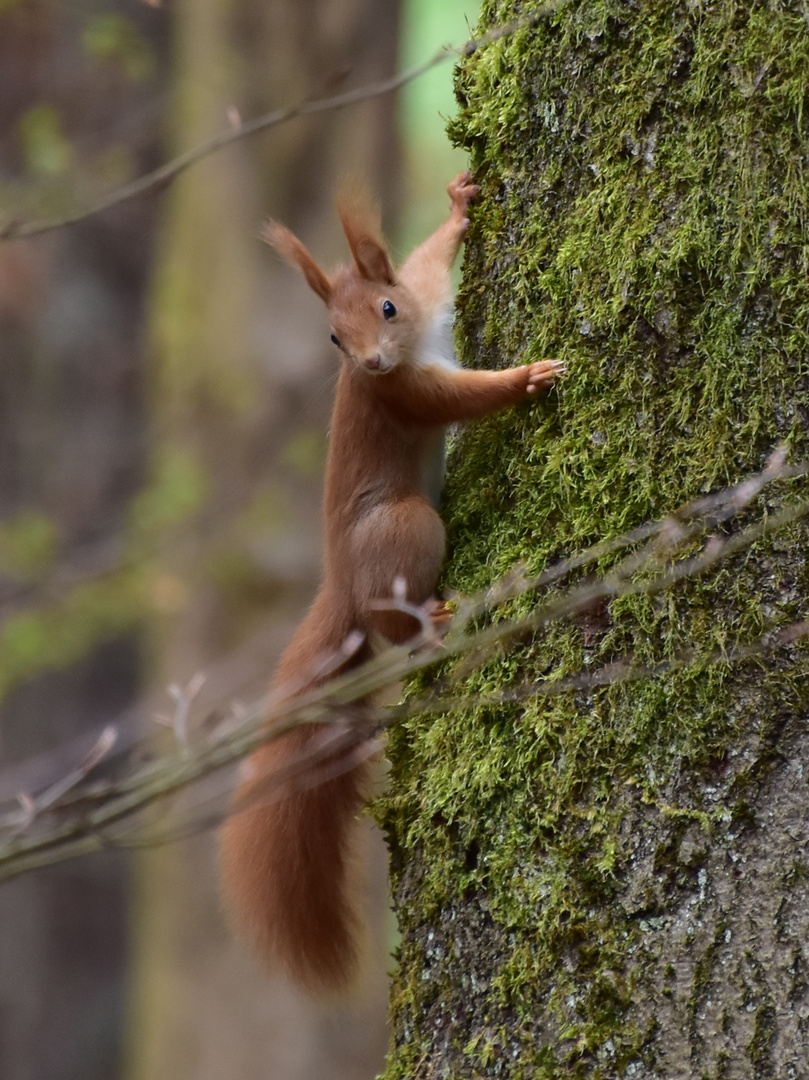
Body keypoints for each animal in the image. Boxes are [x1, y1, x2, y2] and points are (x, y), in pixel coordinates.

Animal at [221, 170, 561, 993]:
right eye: (332, 339)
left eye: (385, 308)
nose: (370, 363)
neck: (410, 347)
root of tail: (343, 585)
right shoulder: (410, 394)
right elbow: (465, 399)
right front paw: (525, 379)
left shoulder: (427, 298)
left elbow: (429, 259)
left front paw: (459, 203)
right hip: (406, 529)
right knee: (393, 628)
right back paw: (430, 625)